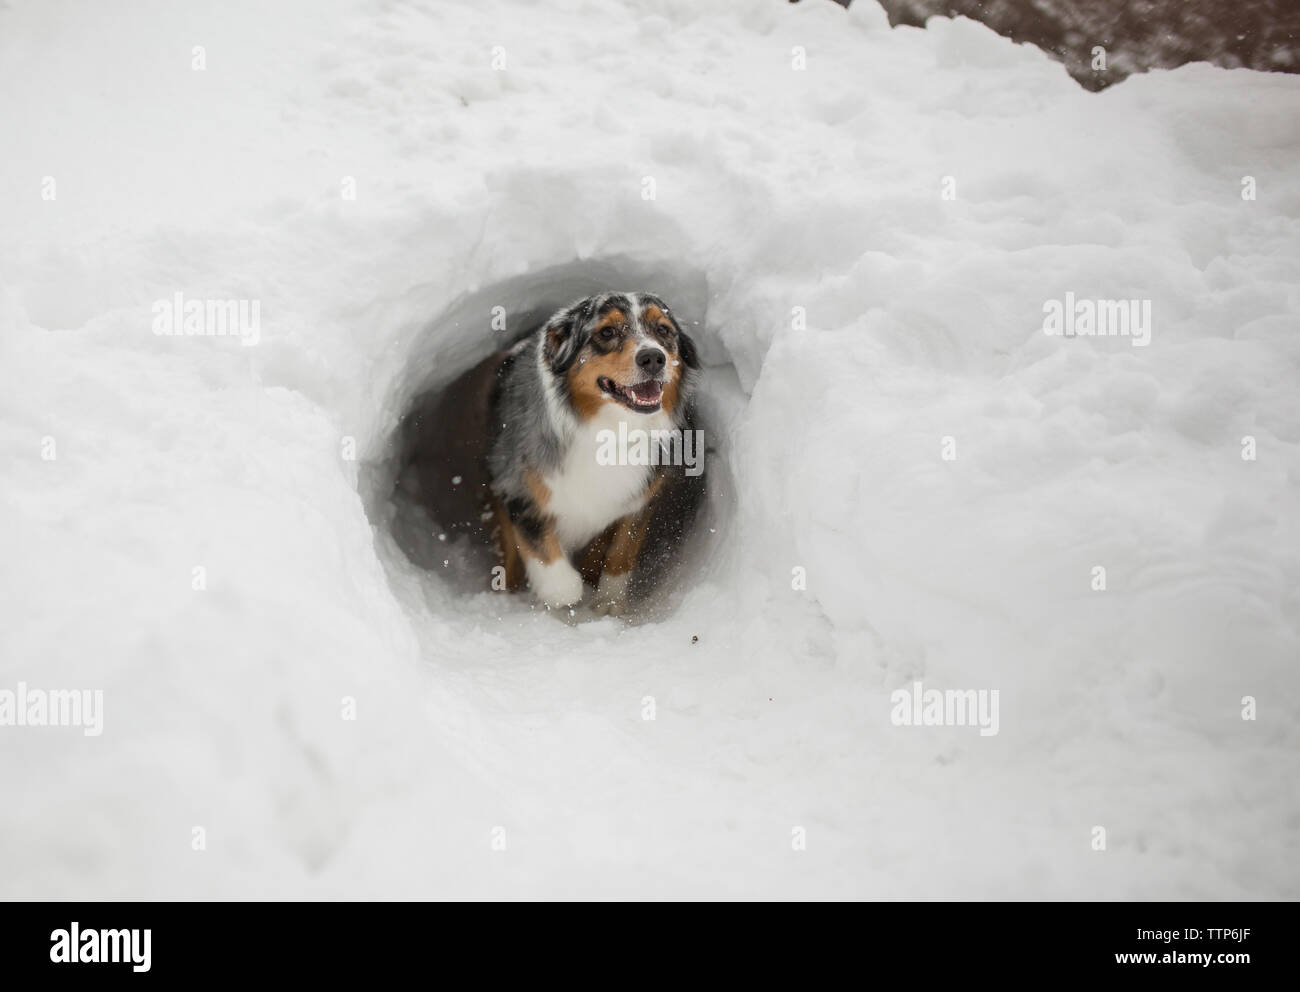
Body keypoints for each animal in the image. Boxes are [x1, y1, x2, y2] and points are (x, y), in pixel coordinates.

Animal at [405, 291, 707, 613]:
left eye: (663, 330)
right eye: (607, 332)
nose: (652, 357)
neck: (609, 431)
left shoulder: (641, 499)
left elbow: (621, 550)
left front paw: (608, 602)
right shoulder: (517, 489)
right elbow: (547, 559)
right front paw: (563, 595)